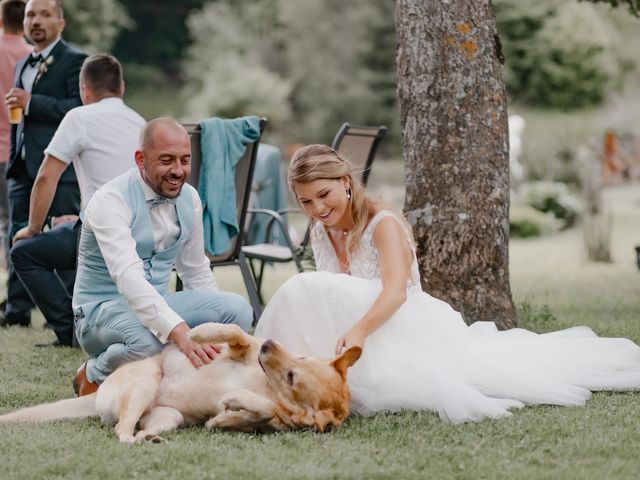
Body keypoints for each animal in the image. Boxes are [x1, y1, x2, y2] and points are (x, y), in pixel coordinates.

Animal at [0, 322, 360, 442]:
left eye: (292, 376)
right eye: (302, 358)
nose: (270, 343)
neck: (264, 381)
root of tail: (96, 394)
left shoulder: (270, 419)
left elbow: (264, 410)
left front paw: (226, 413)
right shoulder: (243, 346)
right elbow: (232, 331)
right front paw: (196, 336)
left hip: (167, 416)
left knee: (125, 430)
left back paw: (145, 439)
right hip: (146, 382)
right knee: (122, 427)